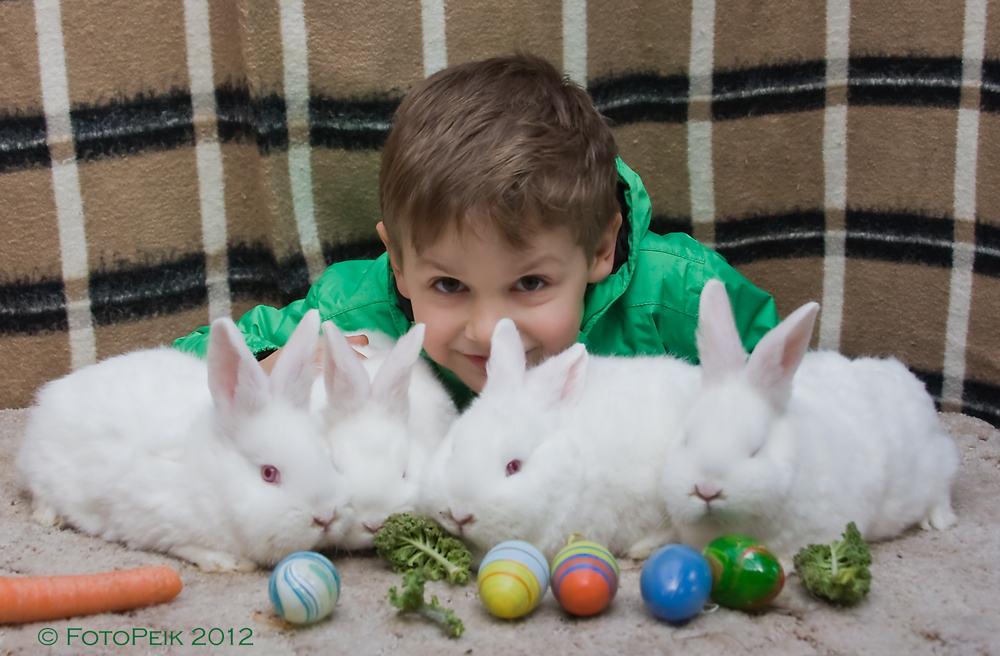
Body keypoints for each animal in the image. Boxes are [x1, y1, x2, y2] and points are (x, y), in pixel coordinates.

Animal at [14, 310, 352, 572]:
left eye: (329, 459)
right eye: (269, 474)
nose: (325, 517)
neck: (213, 479)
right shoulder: (152, 519)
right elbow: (183, 545)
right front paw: (224, 562)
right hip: (43, 471)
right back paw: (50, 518)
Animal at [660, 280, 956, 560]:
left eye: (756, 449)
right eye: (686, 439)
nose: (707, 490)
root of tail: (909, 379)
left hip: (939, 466)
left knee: (941, 492)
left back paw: (937, 520)